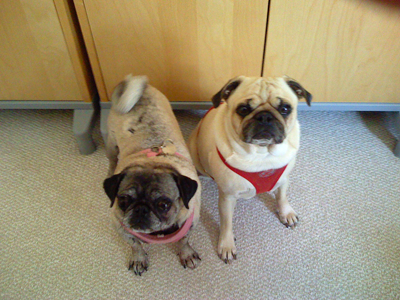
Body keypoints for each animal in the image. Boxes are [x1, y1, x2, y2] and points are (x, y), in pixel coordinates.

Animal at [104, 74, 202, 274]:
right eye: (123, 200)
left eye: (163, 204)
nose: (141, 209)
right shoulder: (120, 226)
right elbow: (135, 244)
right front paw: (138, 258)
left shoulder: (191, 223)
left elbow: (184, 240)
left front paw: (186, 254)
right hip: (111, 143)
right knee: (112, 159)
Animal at [186, 75, 310, 262]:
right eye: (243, 109)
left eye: (285, 108)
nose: (265, 117)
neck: (262, 154)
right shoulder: (228, 197)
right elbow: (226, 223)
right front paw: (227, 244)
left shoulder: (284, 180)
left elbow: (282, 198)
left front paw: (286, 213)